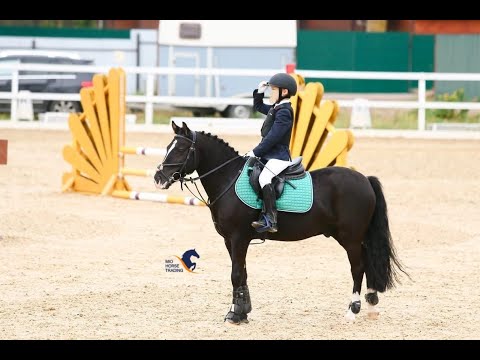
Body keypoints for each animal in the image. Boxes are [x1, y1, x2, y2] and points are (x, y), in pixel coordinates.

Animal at [156, 122, 406, 324]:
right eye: (168, 147)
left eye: (180, 149)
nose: (158, 178)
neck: (228, 178)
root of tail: (365, 179)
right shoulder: (230, 240)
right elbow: (242, 274)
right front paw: (243, 312)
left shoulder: (238, 238)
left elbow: (235, 274)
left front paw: (234, 315)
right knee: (368, 262)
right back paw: (371, 305)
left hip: (350, 238)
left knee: (358, 267)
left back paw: (353, 310)